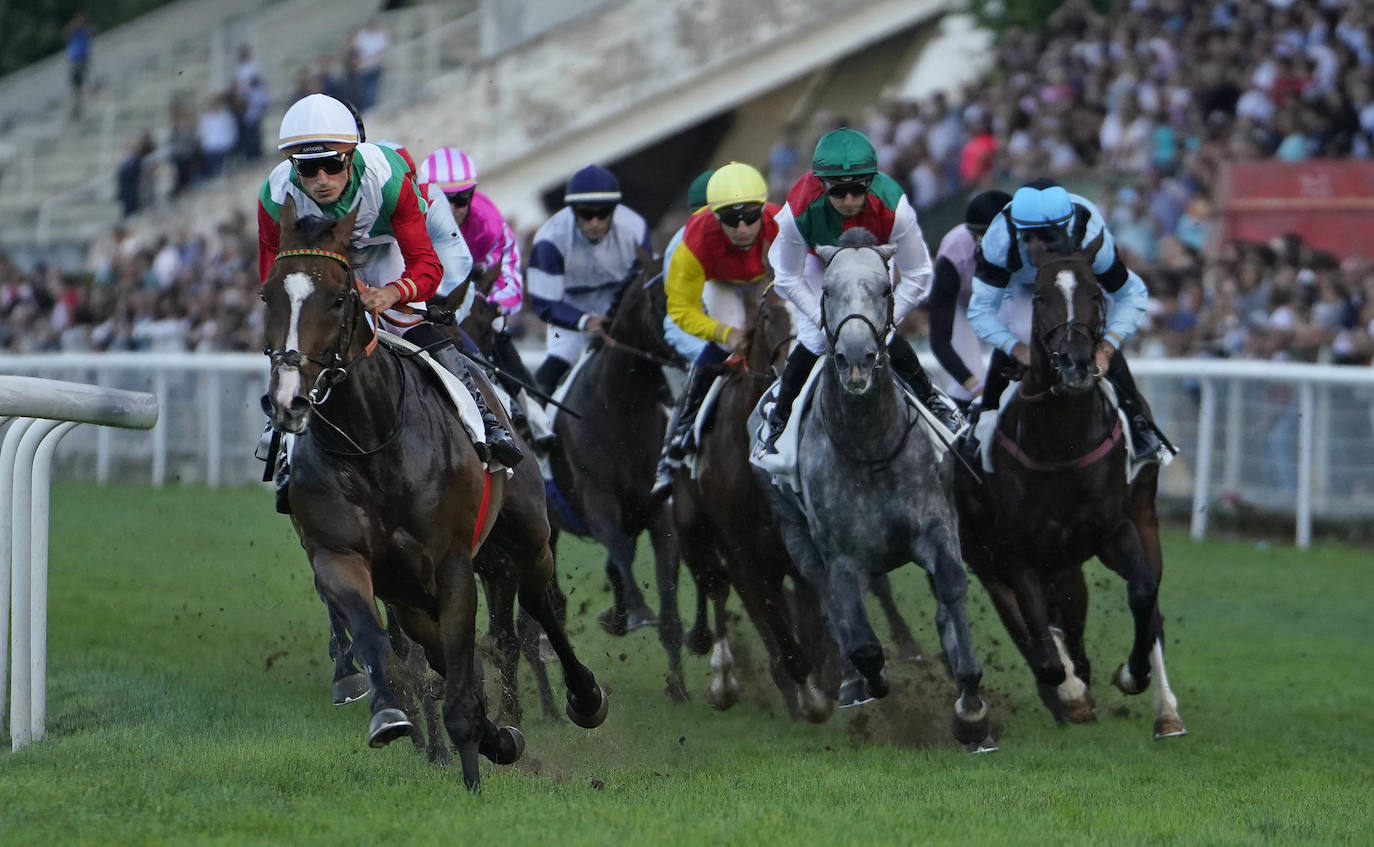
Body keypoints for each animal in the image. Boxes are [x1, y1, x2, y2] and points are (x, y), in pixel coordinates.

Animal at [262, 198, 607, 786]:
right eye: (268, 295)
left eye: (339, 297)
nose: (288, 400)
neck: (372, 441)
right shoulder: (346, 559)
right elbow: (386, 643)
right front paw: (399, 719)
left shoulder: (454, 562)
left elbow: (479, 653)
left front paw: (476, 758)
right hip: (415, 589)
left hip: (527, 535)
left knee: (540, 604)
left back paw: (582, 698)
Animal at [758, 226, 994, 748]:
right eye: (827, 291)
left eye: (885, 289)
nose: (856, 359)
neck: (871, 445)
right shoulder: (842, 554)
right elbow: (861, 640)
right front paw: (868, 679)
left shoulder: (936, 524)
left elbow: (951, 585)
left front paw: (970, 706)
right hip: (793, 531)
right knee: (828, 600)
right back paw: (852, 681)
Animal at [950, 247, 1187, 737]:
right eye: (1040, 296)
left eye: (1095, 293)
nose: (1076, 363)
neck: (1062, 444)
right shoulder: (1016, 552)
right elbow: (1040, 636)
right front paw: (1072, 693)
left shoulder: (1116, 529)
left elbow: (1141, 594)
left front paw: (1132, 674)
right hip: (996, 556)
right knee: (1040, 625)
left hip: (1138, 520)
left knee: (1146, 603)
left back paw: (1166, 711)